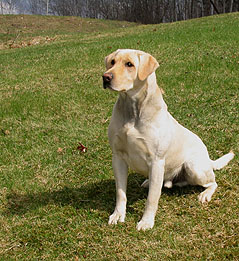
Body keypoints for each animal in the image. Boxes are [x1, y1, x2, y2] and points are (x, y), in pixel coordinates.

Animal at [102, 48, 234, 230]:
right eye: (112, 62)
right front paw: (118, 215)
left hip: (193, 167)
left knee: (213, 182)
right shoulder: (118, 157)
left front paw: (146, 221)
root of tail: (208, 159)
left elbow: (152, 198)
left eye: (129, 64)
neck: (132, 111)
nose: (105, 77)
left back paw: (205, 194)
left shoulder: (156, 161)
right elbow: (120, 193)